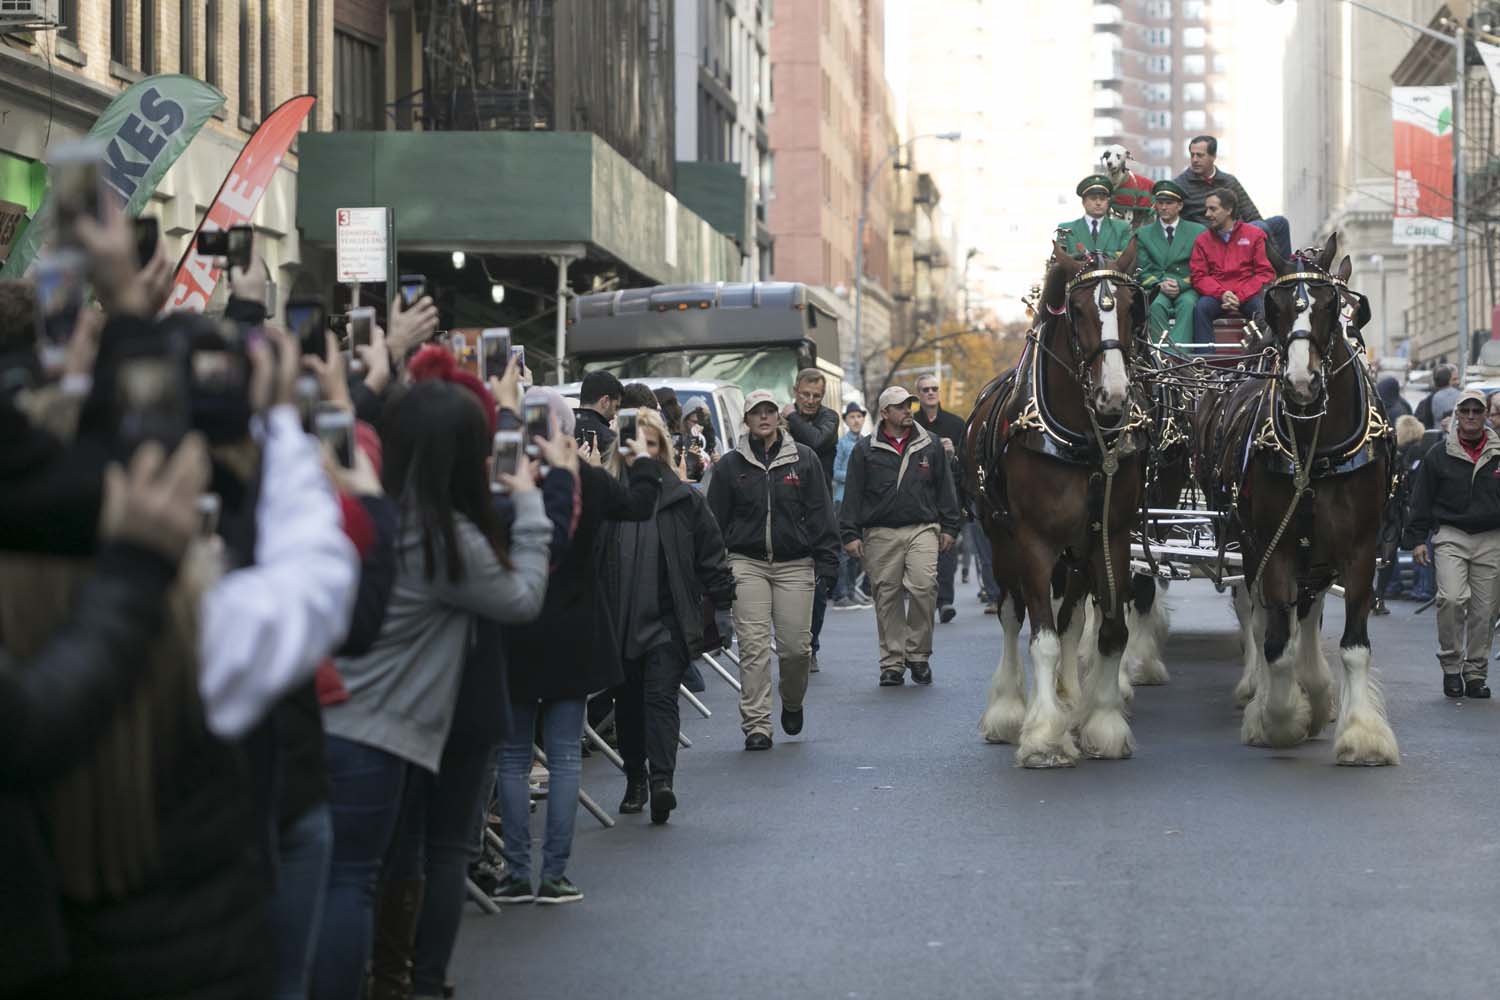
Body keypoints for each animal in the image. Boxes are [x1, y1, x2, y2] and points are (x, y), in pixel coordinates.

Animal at [960, 239, 1146, 767]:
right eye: (1077, 310)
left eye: (1133, 307)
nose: (1114, 395)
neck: (1084, 440)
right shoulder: (1034, 542)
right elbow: (1039, 637)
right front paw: (1043, 736)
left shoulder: (1111, 535)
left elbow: (1109, 631)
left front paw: (1101, 723)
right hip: (1000, 541)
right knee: (1011, 613)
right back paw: (1009, 711)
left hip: (1077, 553)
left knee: (1071, 621)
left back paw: (1069, 699)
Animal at [1188, 235, 1398, 767]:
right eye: (1277, 307)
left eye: (1335, 306)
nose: (1303, 383)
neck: (1314, 449)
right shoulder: (1271, 543)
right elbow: (1275, 641)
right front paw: (1280, 719)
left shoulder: (1359, 548)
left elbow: (1352, 643)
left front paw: (1359, 732)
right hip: (1249, 541)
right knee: (1264, 617)